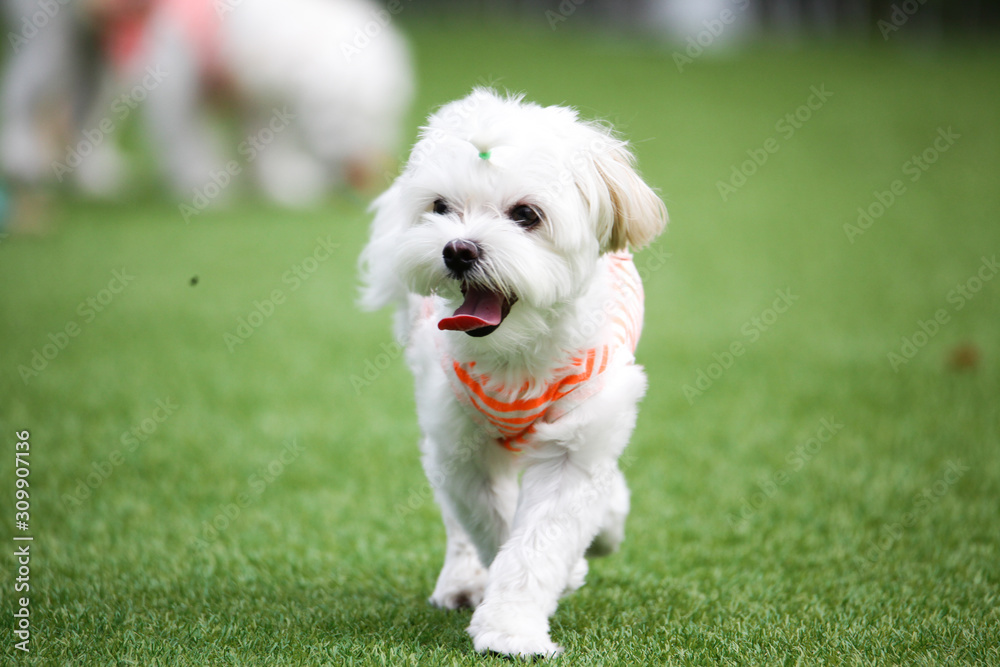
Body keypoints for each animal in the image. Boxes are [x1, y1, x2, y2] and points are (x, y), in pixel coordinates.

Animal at [364, 88, 668, 656]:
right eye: (441, 207)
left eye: (526, 214)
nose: (458, 248)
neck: (516, 355)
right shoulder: (463, 450)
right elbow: (495, 525)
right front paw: (518, 610)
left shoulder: (576, 445)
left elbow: (538, 543)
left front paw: (511, 630)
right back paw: (463, 581)